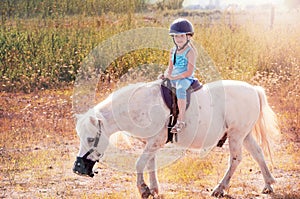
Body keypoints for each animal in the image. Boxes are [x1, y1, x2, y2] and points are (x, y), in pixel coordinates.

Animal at [72, 79, 278, 197]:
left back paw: (220, 188)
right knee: (258, 153)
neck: (140, 105)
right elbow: (150, 164)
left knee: (235, 160)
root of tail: (254, 89)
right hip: (245, 135)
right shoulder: (151, 143)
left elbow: (139, 164)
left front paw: (143, 189)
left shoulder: (155, 141)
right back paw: (268, 184)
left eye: (90, 139)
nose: (77, 169)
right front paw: (153, 189)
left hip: (236, 135)